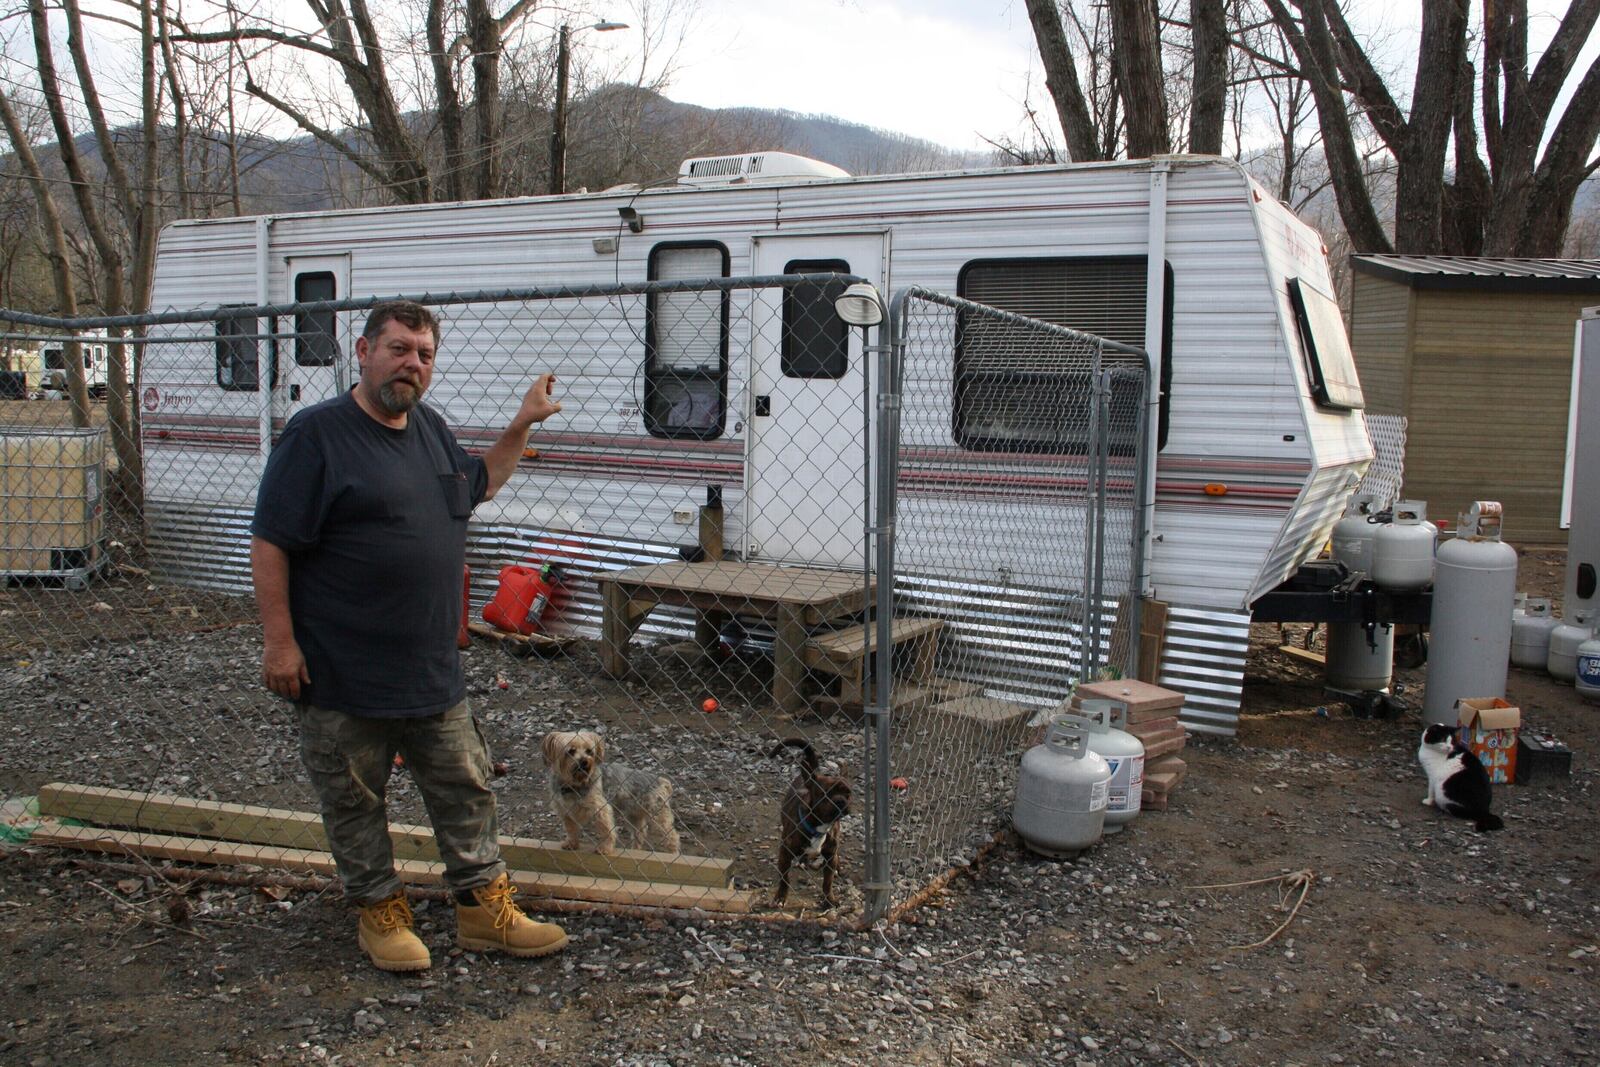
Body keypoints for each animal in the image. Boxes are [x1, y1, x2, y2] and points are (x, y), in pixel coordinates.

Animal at [544, 729, 681, 857]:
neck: (573, 785)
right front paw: (571, 843)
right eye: (571, 751)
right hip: (633, 816)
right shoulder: (565, 811)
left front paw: (605, 848)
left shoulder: (600, 809)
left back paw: (673, 855)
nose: (584, 761)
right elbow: (571, 829)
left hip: (658, 816)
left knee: (672, 836)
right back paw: (635, 850)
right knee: (639, 834)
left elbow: (607, 831)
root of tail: (661, 780)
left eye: (589, 751)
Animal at [771, 742, 857, 908]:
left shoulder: (830, 856)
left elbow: (827, 882)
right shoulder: (785, 853)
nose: (841, 801)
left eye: (848, 793)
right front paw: (780, 897)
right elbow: (785, 879)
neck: (821, 825)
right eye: (825, 794)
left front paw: (829, 899)